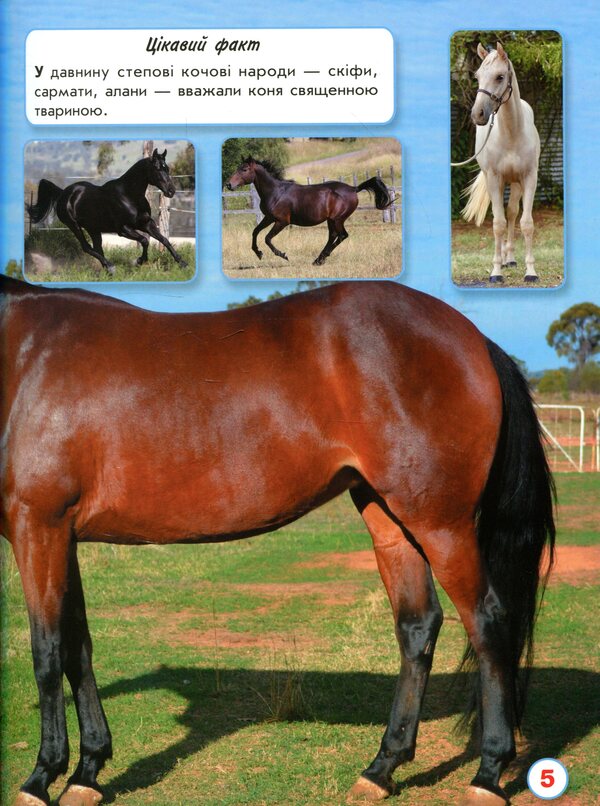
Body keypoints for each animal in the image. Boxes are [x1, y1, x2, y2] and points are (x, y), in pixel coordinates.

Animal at [1, 276, 555, 806]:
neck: (24, 357)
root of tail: (473, 338)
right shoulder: (61, 534)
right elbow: (78, 646)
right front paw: (87, 773)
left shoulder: (38, 526)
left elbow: (47, 652)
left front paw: (41, 778)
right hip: (390, 518)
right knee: (418, 627)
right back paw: (381, 769)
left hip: (441, 523)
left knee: (487, 622)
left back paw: (488, 773)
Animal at [27, 149, 188, 275]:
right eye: (157, 169)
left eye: (167, 168)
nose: (171, 191)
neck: (128, 195)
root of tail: (63, 193)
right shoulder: (123, 229)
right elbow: (144, 240)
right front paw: (139, 261)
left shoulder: (146, 223)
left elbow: (164, 239)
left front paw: (182, 262)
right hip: (74, 226)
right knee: (87, 247)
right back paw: (111, 267)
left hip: (93, 228)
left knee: (97, 248)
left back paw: (108, 270)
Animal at [225, 157, 393, 266]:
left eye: (244, 169)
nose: (228, 185)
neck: (275, 192)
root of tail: (354, 188)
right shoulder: (268, 218)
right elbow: (255, 232)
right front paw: (258, 253)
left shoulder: (282, 221)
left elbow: (267, 238)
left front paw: (283, 255)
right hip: (331, 220)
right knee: (333, 236)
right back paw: (319, 259)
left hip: (337, 219)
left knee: (342, 235)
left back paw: (320, 259)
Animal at [461, 43, 541, 283]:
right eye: (477, 76)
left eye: (500, 76)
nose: (478, 114)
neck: (511, 134)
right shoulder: (494, 179)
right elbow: (497, 224)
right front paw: (496, 271)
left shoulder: (529, 178)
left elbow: (526, 223)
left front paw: (531, 272)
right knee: (505, 217)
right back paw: (505, 260)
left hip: (515, 183)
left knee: (513, 213)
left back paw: (511, 259)